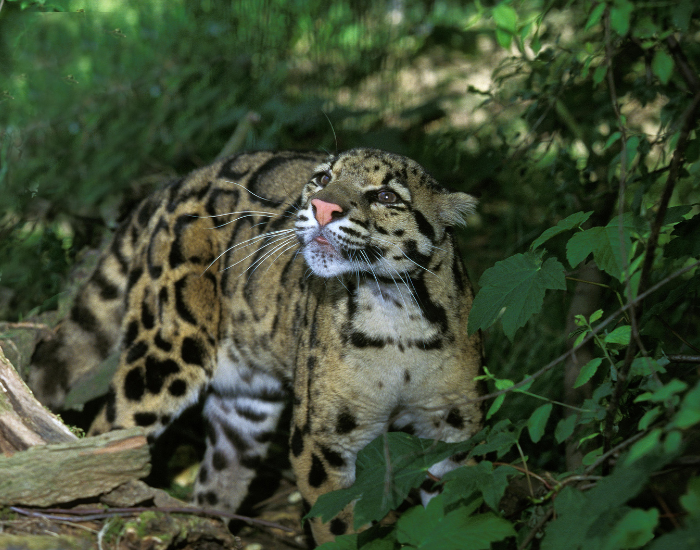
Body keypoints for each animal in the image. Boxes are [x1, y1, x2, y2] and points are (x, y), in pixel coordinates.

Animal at [28, 148, 483, 545]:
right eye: (323, 179)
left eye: (387, 196)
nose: (321, 207)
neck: (394, 314)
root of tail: (180, 181)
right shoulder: (321, 442)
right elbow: (337, 526)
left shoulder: (456, 429)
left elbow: (462, 505)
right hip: (165, 354)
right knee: (107, 436)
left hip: (244, 406)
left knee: (217, 479)